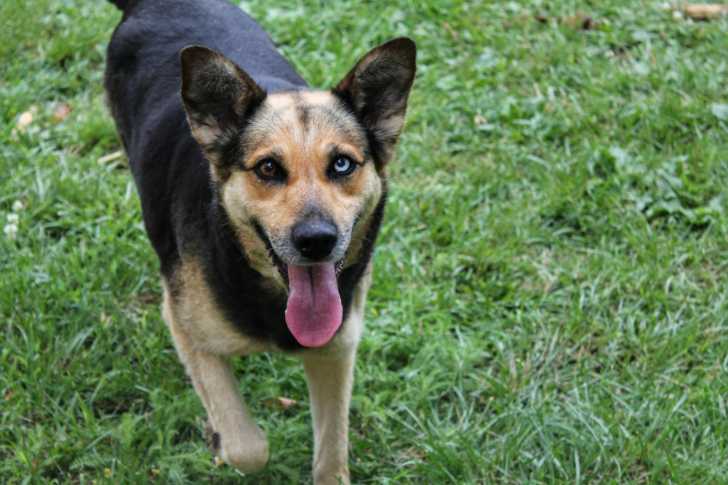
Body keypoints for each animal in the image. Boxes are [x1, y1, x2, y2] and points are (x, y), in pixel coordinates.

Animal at [105, 0, 418, 480]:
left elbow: (332, 451)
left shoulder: (337, 348)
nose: (316, 240)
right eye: (268, 168)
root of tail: (153, 5)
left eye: (342, 164)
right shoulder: (186, 329)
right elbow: (247, 447)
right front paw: (221, 439)